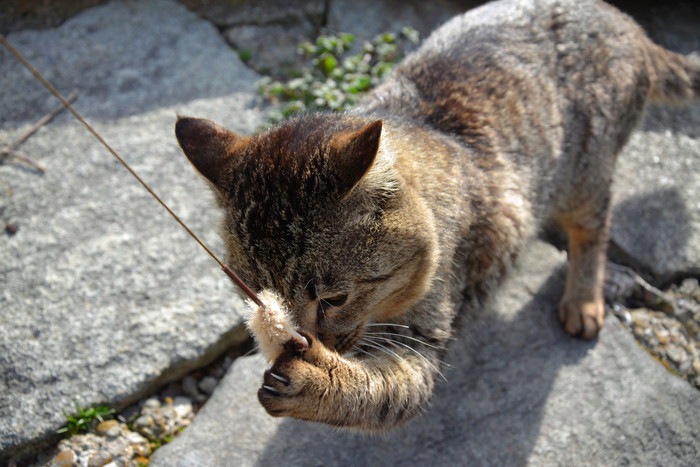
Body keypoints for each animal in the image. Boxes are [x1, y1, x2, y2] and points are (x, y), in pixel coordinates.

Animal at [174, 0, 696, 432]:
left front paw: (317, 379)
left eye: (335, 298)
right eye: (254, 295)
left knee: (595, 227)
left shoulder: (428, 332)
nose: (298, 342)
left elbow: (385, 394)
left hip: (585, 173)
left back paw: (583, 300)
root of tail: (625, 21)